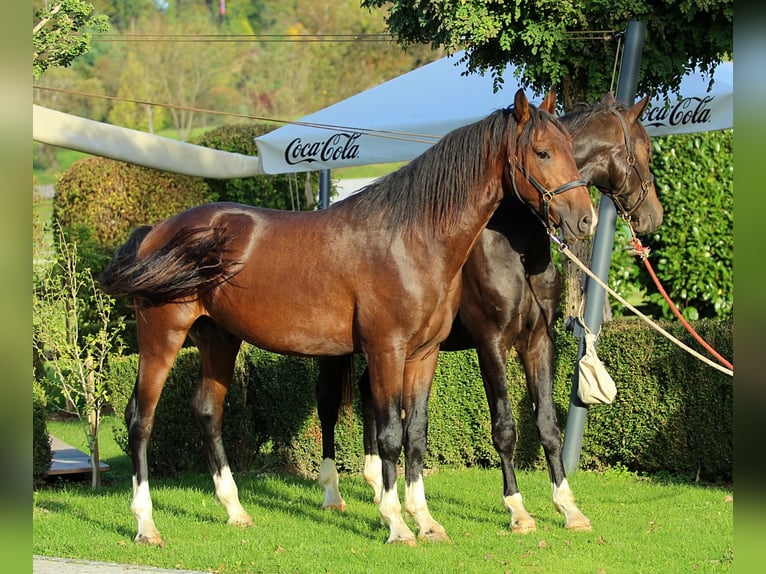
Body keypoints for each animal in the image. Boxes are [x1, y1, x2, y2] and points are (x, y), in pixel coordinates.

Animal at [99, 88, 596, 547]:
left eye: (573, 149)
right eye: (542, 152)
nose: (586, 219)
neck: (413, 238)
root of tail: (157, 232)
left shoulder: (425, 355)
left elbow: (416, 434)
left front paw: (426, 521)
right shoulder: (392, 350)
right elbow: (391, 435)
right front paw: (398, 525)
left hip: (218, 339)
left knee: (207, 411)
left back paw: (235, 511)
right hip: (162, 336)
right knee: (140, 419)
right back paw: (146, 525)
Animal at [315, 92, 663, 534]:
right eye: (645, 151)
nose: (653, 216)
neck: (514, 244)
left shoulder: (537, 342)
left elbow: (548, 425)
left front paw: (567, 507)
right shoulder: (492, 344)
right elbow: (505, 428)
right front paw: (517, 509)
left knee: (367, 395)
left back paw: (378, 487)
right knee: (328, 405)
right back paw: (333, 493)